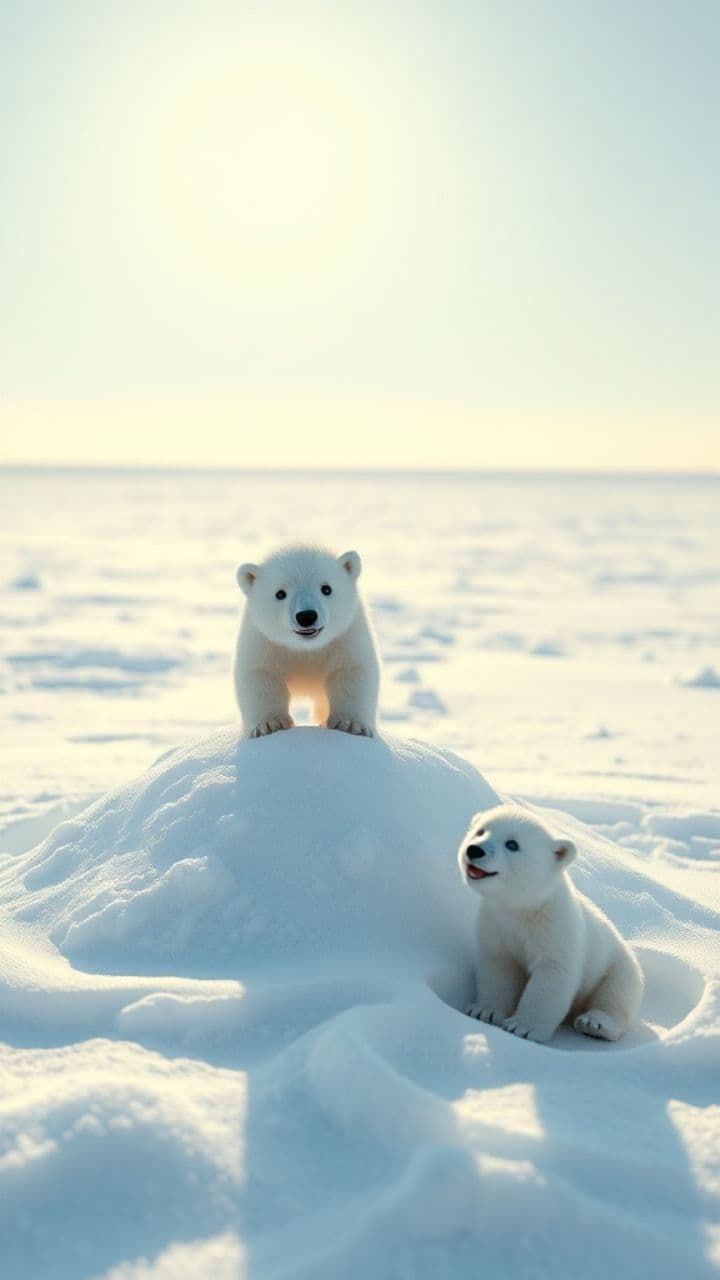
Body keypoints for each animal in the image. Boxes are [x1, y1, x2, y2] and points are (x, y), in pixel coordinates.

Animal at [234, 543, 380, 739]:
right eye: (280, 593)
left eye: (326, 588)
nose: (306, 616)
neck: (306, 648)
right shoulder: (264, 641)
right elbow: (260, 675)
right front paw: (270, 724)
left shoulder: (345, 637)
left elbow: (352, 671)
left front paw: (350, 724)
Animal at [457, 804, 644, 1043]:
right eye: (480, 831)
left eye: (512, 844)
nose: (474, 850)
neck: (523, 909)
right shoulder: (495, 924)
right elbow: (498, 969)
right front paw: (484, 1011)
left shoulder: (556, 927)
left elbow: (551, 977)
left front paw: (522, 1026)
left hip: (617, 966)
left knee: (616, 995)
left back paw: (594, 1023)